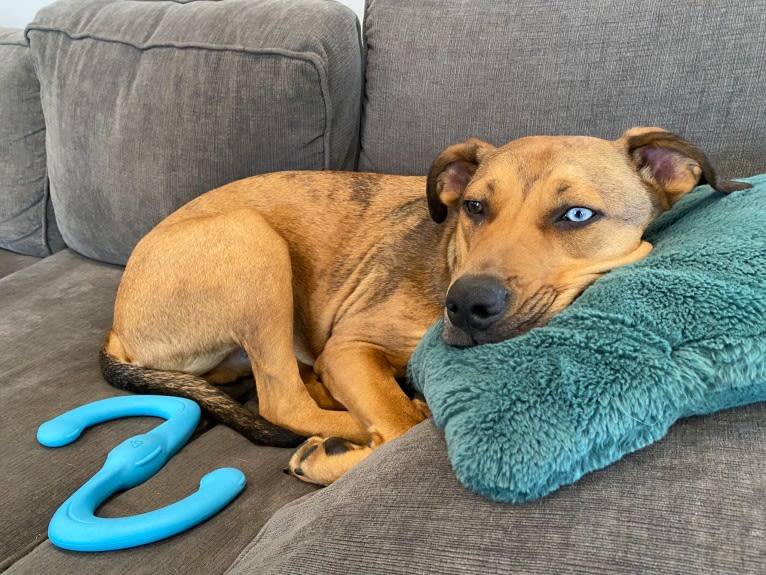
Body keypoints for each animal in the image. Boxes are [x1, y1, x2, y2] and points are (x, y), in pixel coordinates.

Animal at [100, 127, 752, 486]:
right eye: (474, 207)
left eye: (577, 215)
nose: (463, 305)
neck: (449, 260)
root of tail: (117, 329)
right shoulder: (351, 346)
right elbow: (400, 420)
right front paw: (346, 446)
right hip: (251, 240)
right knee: (281, 400)